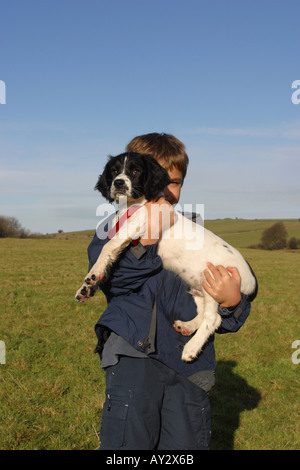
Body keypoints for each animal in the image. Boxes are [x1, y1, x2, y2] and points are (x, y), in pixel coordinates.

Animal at [75, 152, 258, 362]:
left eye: (135, 171)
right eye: (113, 171)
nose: (119, 183)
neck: (132, 205)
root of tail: (252, 280)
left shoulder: (136, 226)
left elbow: (107, 248)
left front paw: (93, 274)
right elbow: (110, 259)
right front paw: (87, 287)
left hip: (214, 284)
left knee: (213, 319)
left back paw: (191, 348)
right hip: (198, 287)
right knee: (204, 313)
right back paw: (187, 326)